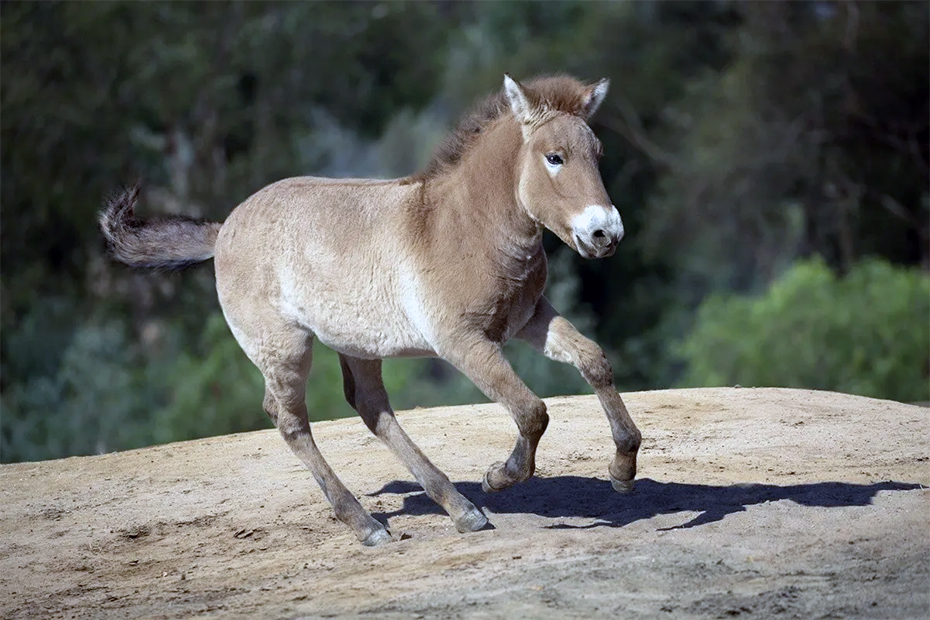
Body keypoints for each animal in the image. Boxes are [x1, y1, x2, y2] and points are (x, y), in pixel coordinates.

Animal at [99, 75, 640, 544]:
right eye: (555, 157)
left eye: (597, 154)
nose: (606, 234)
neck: (464, 227)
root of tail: (223, 230)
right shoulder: (463, 343)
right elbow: (531, 411)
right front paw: (498, 477)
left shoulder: (528, 319)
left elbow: (593, 360)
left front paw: (623, 469)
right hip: (285, 348)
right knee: (290, 420)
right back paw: (367, 524)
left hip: (357, 344)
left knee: (371, 408)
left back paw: (460, 510)